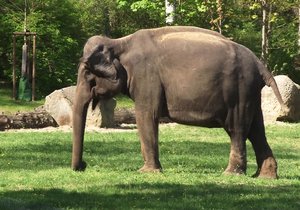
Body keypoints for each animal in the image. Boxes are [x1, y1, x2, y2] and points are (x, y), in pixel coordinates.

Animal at [71, 25, 284, 178]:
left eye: (88, 73)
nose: (83, 166)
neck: (119, 42)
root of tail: (259, 64)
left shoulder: (146, 77)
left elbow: (146, 115)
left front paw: (147, 172)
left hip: (240, 90)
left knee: (237, 130)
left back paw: (231, 174)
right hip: (250, 94)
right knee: (256, 130)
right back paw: (264, 177)